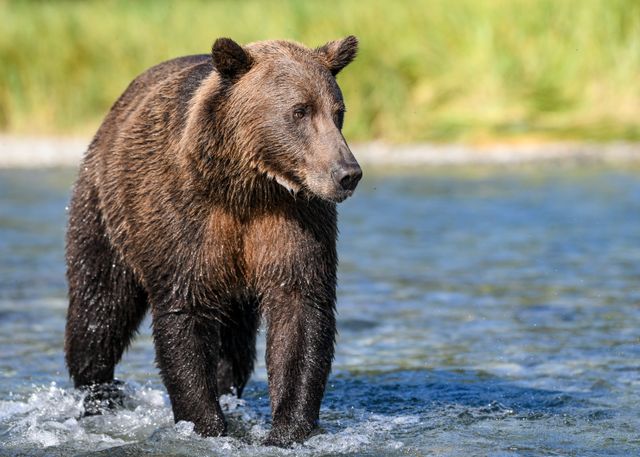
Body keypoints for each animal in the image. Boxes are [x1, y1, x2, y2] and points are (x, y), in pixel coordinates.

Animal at [64, 36, 361, 446]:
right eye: (300, 110)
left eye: (338, 111)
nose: (348, 173)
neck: (246, 188)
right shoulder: (186, 221)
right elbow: (185, 315)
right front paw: (204, 425)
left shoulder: (292, 222)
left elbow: (300, 311)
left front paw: (287, 428)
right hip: (104, 212)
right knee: (99, 306)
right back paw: (97, 395)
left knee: (233, 346)